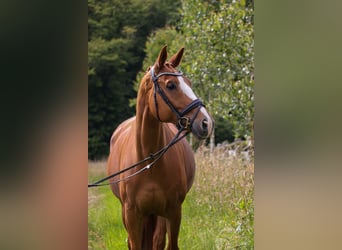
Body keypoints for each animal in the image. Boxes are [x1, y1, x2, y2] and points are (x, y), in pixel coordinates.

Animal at [108, 46, 212, 249]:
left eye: (188, 82)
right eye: (171, 85)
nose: (206, 122)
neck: (148, 162)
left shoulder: (173, 211)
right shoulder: (132, 215)